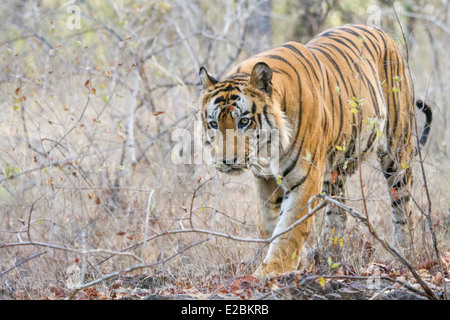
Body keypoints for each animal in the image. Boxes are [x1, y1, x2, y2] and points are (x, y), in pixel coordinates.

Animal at [198, 24, 432, 278]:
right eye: (213, 124)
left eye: (243, 121)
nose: (226, 161)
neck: (267, 150)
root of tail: (382, 31)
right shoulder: (265, 180)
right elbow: (270, 225)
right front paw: (292, 262)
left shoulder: (305, 178)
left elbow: (289, 230)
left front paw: (271, 272)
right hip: (335, 169)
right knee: (338, 214)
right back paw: (329, 255)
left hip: (397, 148)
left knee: (403, 205)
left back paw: (403, 252)